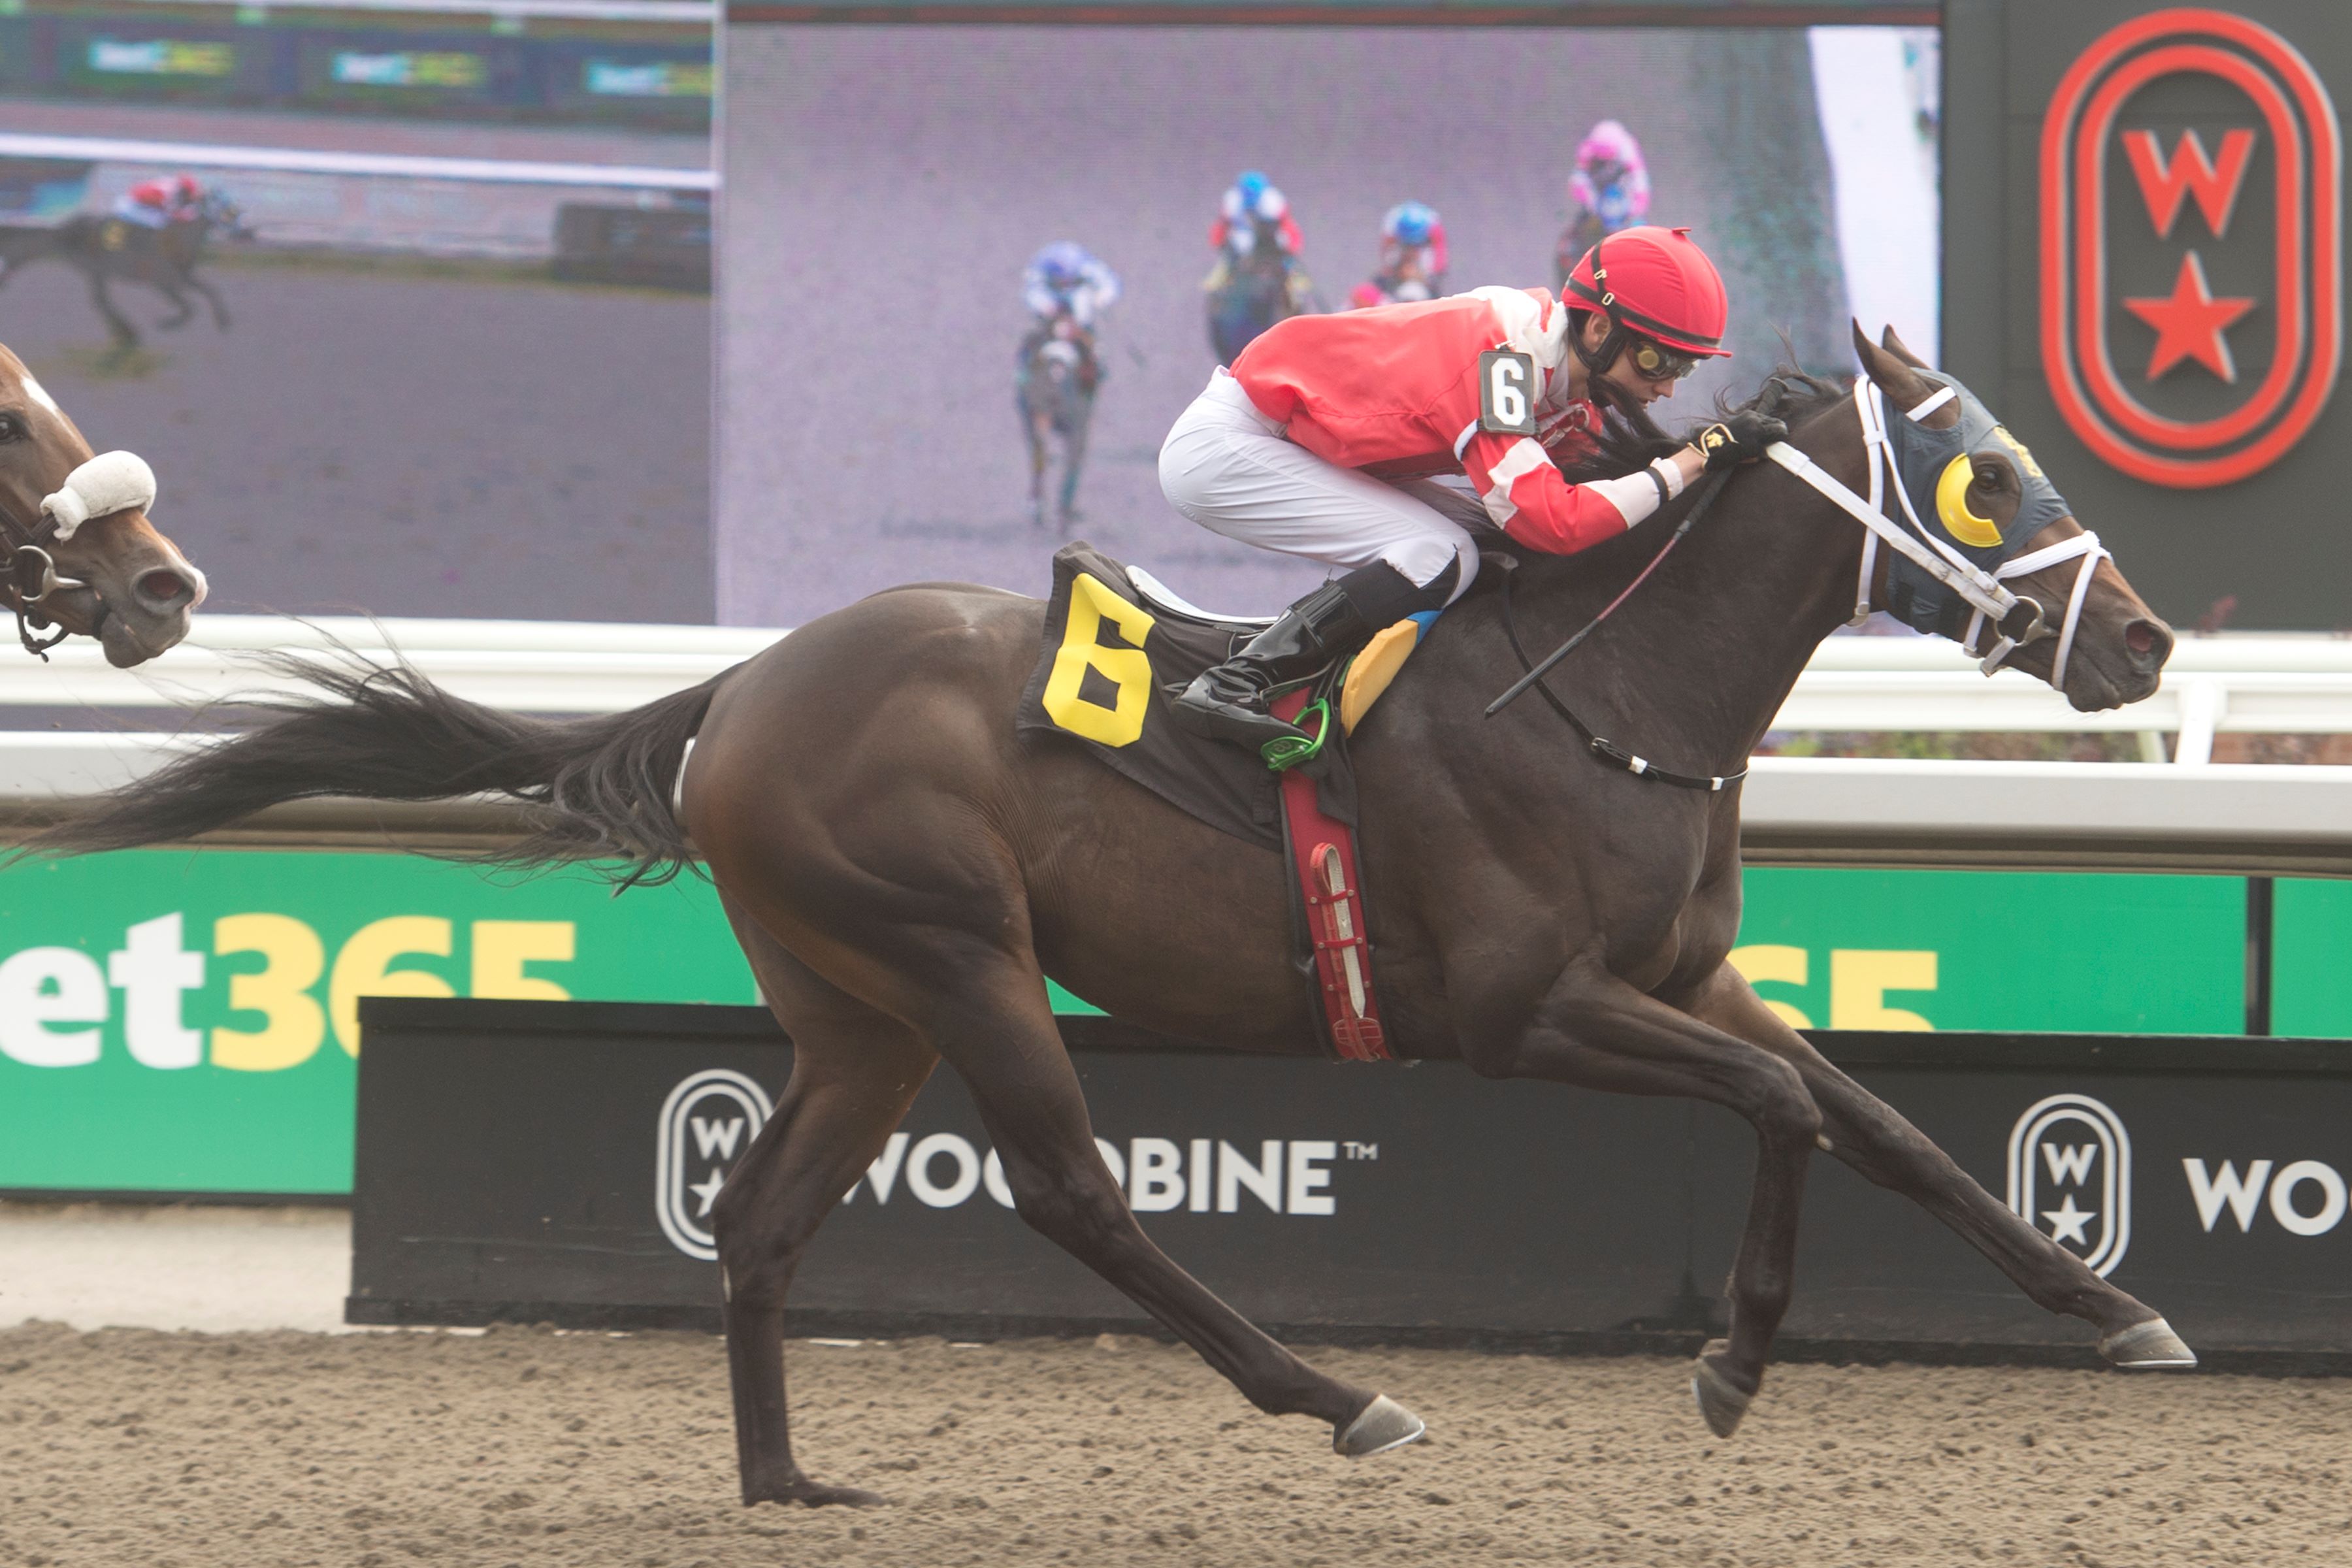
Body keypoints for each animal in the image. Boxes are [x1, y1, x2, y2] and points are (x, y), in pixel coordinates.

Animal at [37, 321, 2192, 1504]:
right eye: (1988, 476)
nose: (2150, 642)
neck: (1613, 695)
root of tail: (749, 682)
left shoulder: (1691, 976)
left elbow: (1887, 1119)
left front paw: (2118, 1308)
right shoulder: (1527, 1013)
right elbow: (1789, 1111)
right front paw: (1737, 1362)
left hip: (861, 1009)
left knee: (761, 1217)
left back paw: (786, 1478)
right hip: (955, 951)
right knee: (1073, 1193)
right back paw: (1337, 1395)